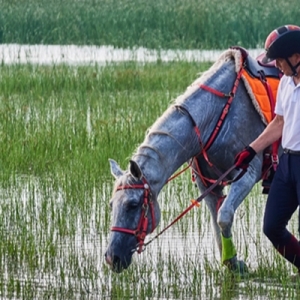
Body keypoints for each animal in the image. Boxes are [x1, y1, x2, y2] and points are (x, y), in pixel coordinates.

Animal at [105, 48, 278, 274]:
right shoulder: (209, 185)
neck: (214, 117)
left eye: (133, 205)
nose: (112, 258)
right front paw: (230, 261)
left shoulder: (246, 174)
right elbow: (216, 222)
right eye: (111, 205)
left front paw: (236, 264)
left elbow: (224, 216)